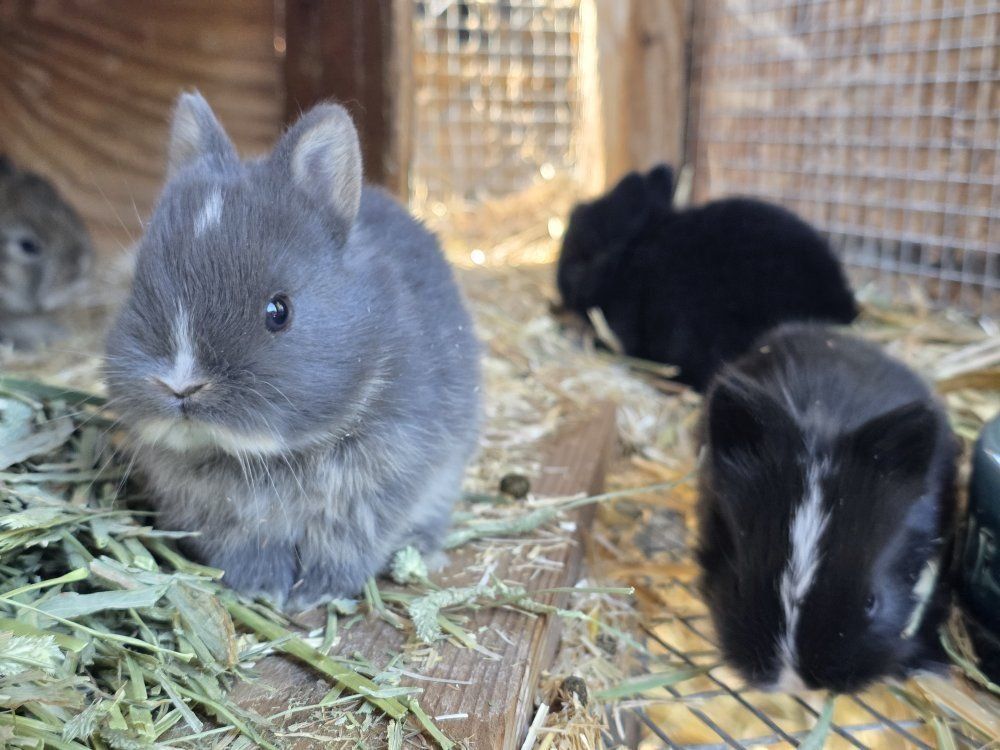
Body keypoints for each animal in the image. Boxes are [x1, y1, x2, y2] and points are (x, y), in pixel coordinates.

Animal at [105, 93, 481, 611]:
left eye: (278, 311)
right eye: (136, 289)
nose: (180, 387)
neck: (262, 456)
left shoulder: (379, 484)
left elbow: (345, 547)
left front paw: (317, 595)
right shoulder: (224, 518)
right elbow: (248, 549)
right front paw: (260, 588)